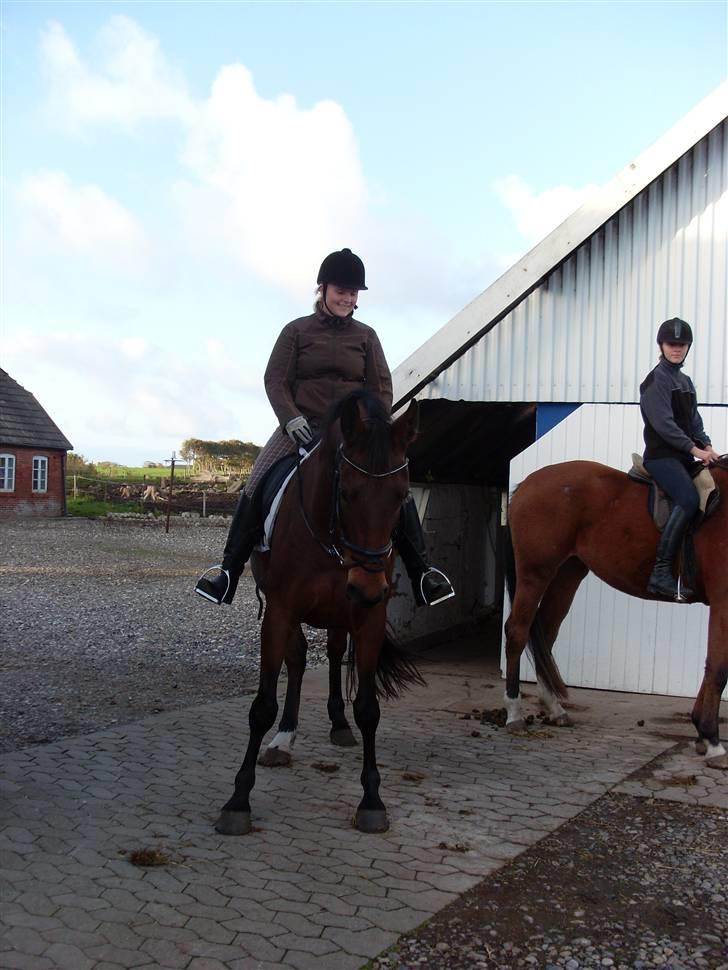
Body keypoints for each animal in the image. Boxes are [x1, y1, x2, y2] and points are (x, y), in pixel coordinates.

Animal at [213, 390, 420, 836]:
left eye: (401, 496)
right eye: (347, 493)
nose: (368, 587)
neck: (331, 540)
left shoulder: (368, 618)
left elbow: (368, 708)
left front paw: (372, 800)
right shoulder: (279, 612)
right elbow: (262, 706)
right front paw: (238, 801)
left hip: (343, 614)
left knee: (334, 654)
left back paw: (338, 725)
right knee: (298, 661)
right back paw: (284, 738)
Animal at [504, 458, 728, 768]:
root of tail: (527, 484)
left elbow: (710, 667)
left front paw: (702, 733)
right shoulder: (723, 601)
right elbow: (718, 668)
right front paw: (713, 741)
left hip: (568, 573)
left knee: (545, 636)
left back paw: (555, 709)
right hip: (535, 572)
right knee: (517, 631)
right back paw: (513, 713)